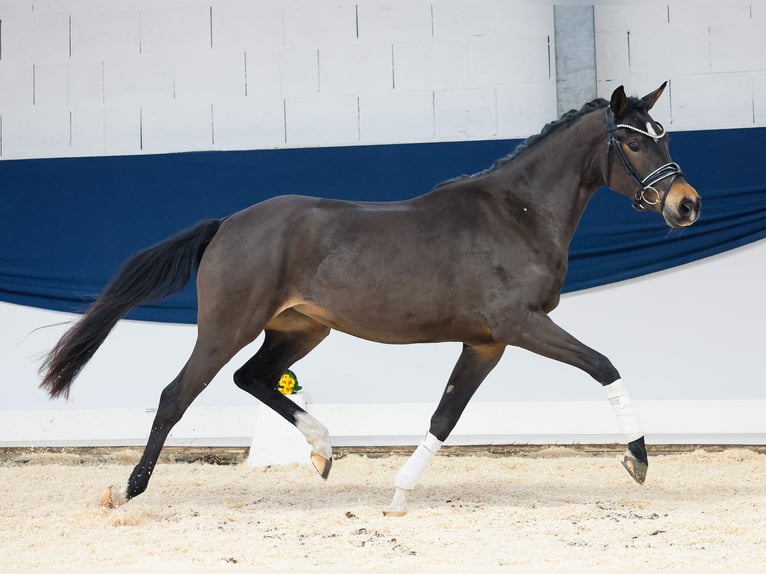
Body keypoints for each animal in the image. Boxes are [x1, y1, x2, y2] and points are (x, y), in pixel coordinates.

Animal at [40, 84, 704, 516]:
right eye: (632, 144)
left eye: (664, 136)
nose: (687, 205)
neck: (517, 214)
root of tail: (228, 223)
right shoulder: (520, 324)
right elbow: (604, 365)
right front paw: (637, 461)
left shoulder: (486, 342)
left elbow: (445, 416)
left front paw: (400, 495)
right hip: (228, 326)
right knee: (177, 395)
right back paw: (125, 491)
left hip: (301, 329)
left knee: (253, 378)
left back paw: (322, 451)